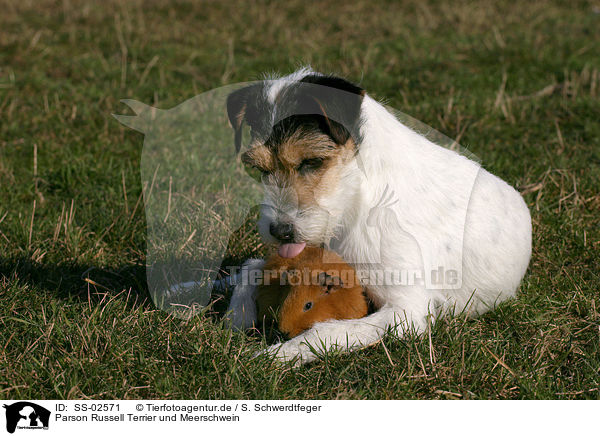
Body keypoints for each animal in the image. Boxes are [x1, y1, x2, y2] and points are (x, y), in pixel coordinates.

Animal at [223, 65, 532, 364]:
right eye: (260, 169)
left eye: (311, 161)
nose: (280, 232)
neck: (356, 200)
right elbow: (250, 267)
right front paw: (236, 317)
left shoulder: (406, 312)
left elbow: (327, 330)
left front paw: (276, 356)